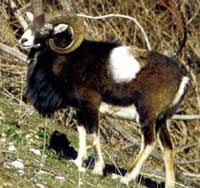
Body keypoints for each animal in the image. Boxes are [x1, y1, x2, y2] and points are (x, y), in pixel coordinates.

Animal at [19, 9, 190, 188]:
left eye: (47, 29)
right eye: (31, 23)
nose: (24, 40)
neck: (71, 58)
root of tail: (183, 78)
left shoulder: (92, 105)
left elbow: (94, 134)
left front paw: (98, 170)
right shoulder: (81, 109)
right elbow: (82, 131)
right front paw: (78, 162)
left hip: (147, 117)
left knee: (149, 143)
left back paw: (125, 178)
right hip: (161, 121)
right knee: (168, 148)